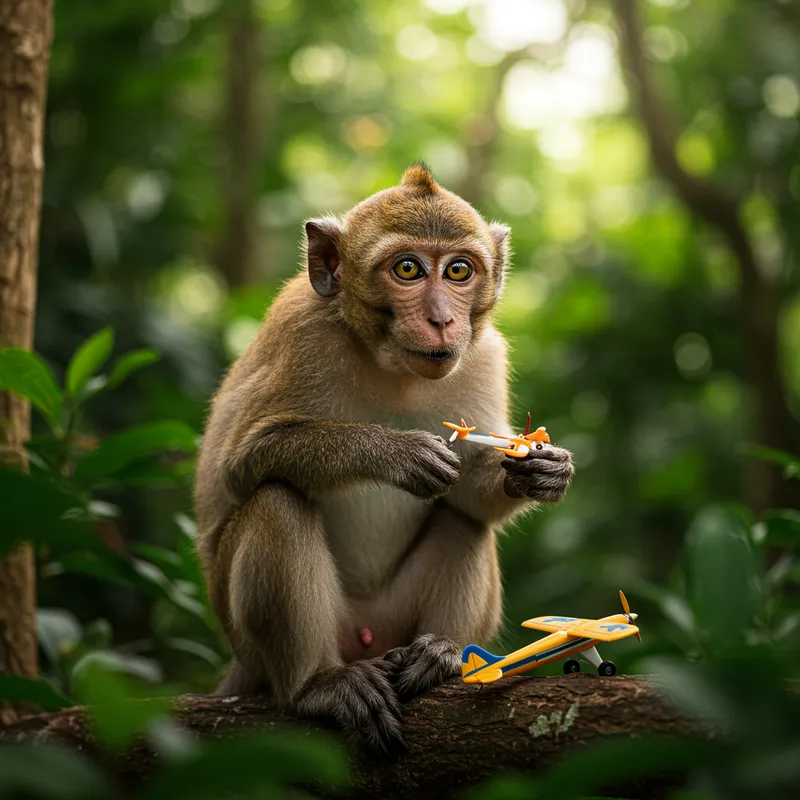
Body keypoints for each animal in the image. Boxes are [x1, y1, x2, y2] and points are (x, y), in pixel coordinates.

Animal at [194, 164, 574, 753]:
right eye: (407, 269)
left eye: (459, 270)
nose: (442, 320)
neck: (393, 366)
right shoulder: (300, 332)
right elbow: (243, 461)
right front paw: (394, 452)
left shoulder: (484, 356)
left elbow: (470, 492)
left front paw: (543, 470)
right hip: (262, 643)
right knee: (276, 500)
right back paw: (318, 684)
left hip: (394, 618)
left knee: (464, 522)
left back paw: (440, 656)